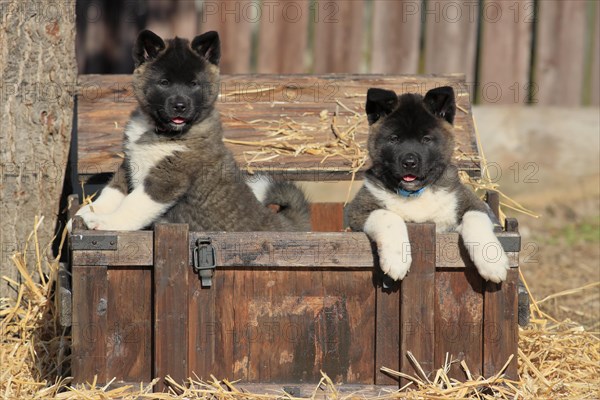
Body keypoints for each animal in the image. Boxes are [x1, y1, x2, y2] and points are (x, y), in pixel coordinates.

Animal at [74, 30, 310, 231]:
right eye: (164, 82)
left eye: (194, 83)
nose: (180, 106)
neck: (160, 132)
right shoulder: (129, 164)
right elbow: (112, 191)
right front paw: (87, 212)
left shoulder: (166, 180)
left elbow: (132, 206)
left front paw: (105, 222)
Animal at [344, 86, 508, 282]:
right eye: (394, 139)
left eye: (426, 139)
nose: (409, 162)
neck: (415, 194)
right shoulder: (358, 211)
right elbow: (388, 216)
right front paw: (397, 260)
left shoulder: (470, 201)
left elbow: (476, 218)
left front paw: (492, 262)